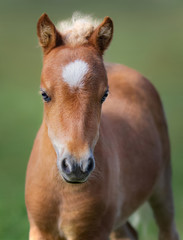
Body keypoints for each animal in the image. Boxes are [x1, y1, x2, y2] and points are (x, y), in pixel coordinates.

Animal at [25, 13, 179, 240]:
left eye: (104, 95)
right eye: (45, 94)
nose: (76, 166)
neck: (63, 191)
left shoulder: (94, 232)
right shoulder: (40, 230)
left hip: (162, 187)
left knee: (168, 228)